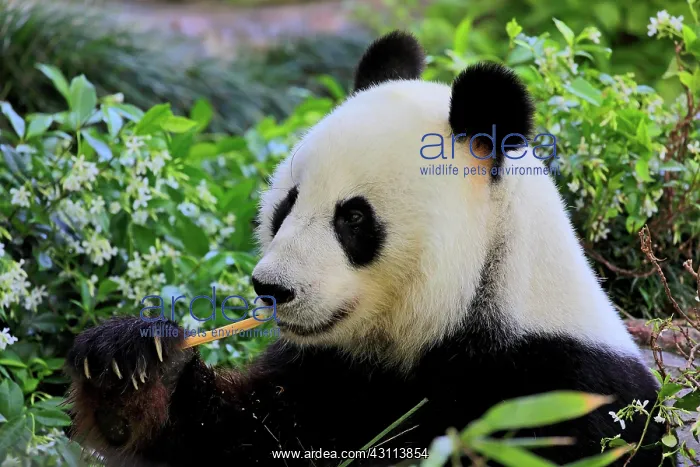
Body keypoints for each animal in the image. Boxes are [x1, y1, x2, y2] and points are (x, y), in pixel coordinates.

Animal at [65, 31, 666, 466]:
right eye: (287, 204)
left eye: (353, 217)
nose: (271, 288)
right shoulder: (328, 377)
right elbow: (244, 435)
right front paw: (131, 369)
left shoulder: (559, 391)